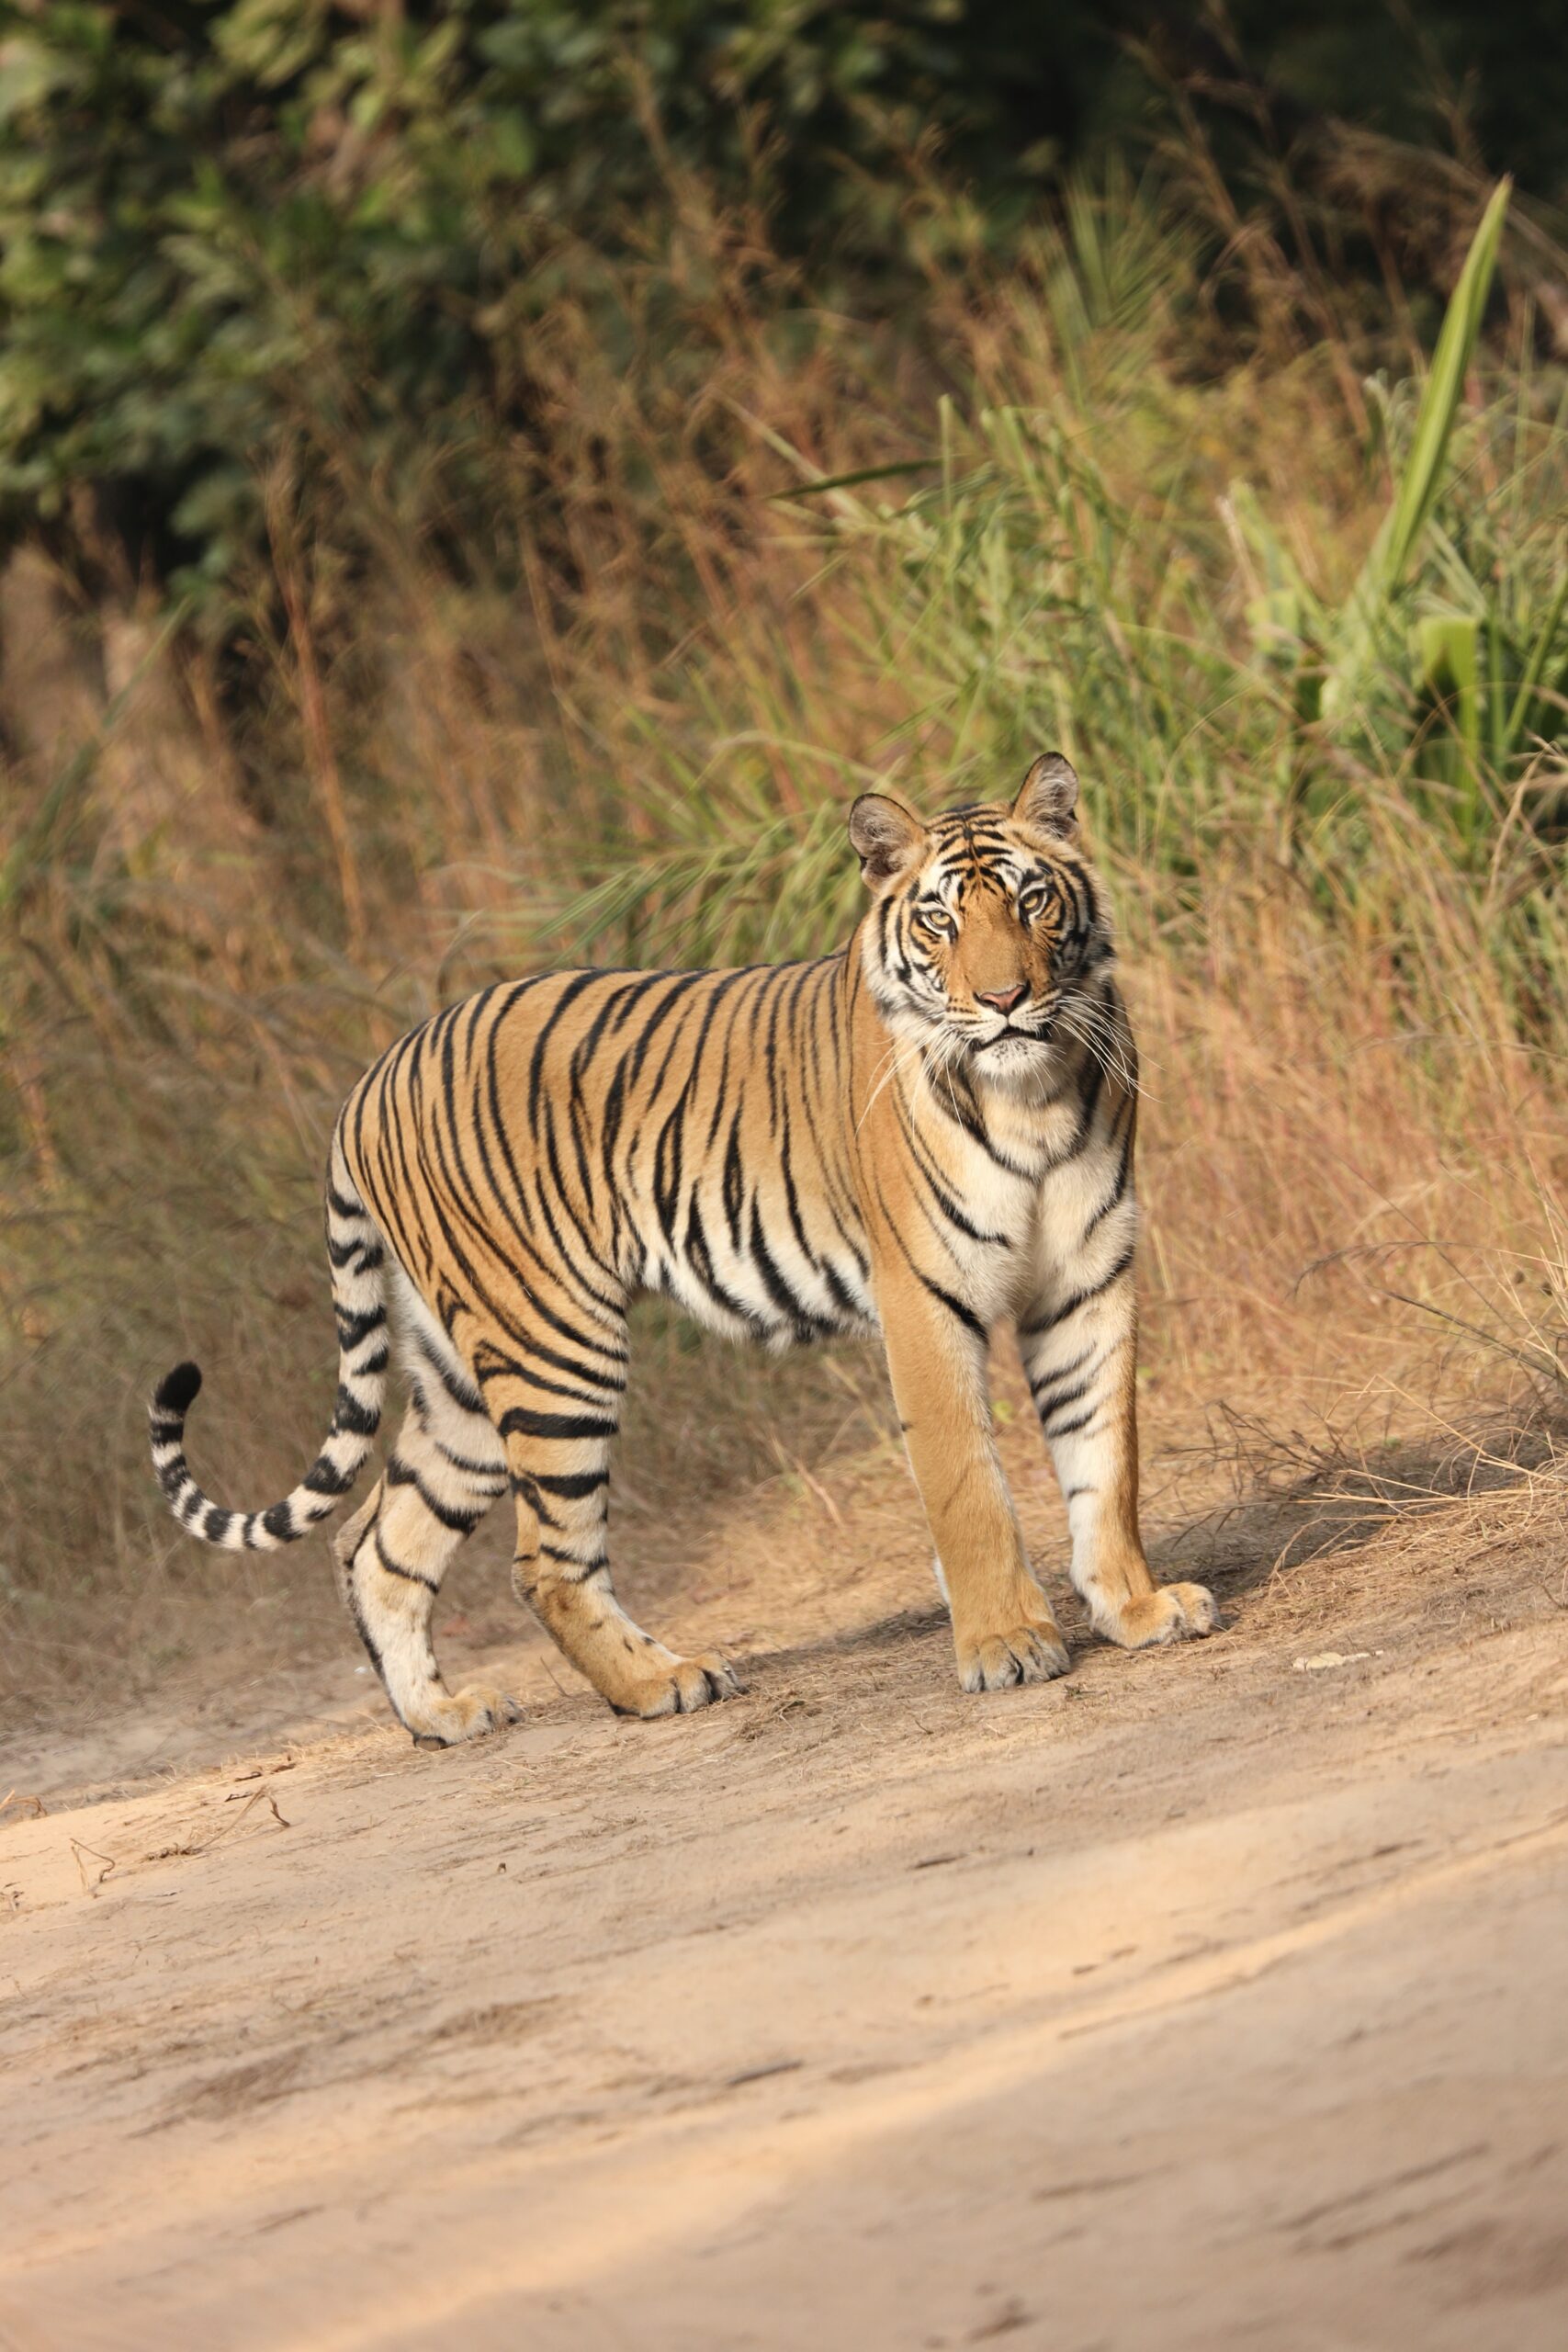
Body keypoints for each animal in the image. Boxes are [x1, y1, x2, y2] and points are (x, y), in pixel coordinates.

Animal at [146, 752, 1222, 1749]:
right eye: (939, 923)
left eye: (1033, 900)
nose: (1004, 1000)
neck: (1032, 1091)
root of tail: (369, 1077)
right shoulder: (922, 1298)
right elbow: (969, 1485)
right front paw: (1006, 1645)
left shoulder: (1086, 1279)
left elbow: (1105, 1458)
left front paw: (1136, 1608)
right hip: (553, 1346)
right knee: (543, 1561)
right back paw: (663, 1681)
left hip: (459, 1383)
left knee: (377, 1546)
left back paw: (445, 1715)